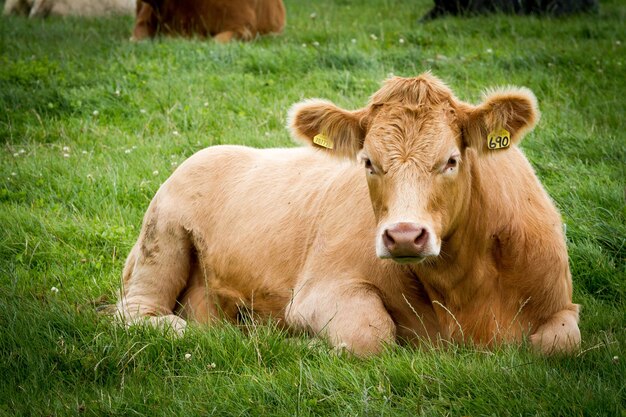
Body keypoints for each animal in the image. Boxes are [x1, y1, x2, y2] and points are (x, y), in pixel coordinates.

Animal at [117, 73, 580, 356]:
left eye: (451, 161)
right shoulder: (319, 291)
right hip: (162, 238)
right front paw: (298, 343)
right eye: (368, 162)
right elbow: (371, 334)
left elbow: (559, 344)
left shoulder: (561, 304)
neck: (463, 289)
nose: (405, 235)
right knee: (139, 312)